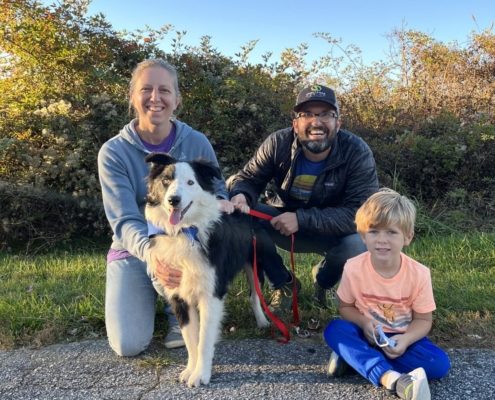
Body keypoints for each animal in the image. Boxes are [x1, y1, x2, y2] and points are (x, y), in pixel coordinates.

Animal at [145, 152, 276, 388]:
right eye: (166, 180)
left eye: (190, 182)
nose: (173, 200)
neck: (186, 232)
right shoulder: (179, 296)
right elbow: (191, 339)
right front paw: (190, 370)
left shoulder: (211, 294)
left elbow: (204, 339)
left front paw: (201, 374)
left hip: (254, 263)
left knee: (254, 295)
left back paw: (262, 321)